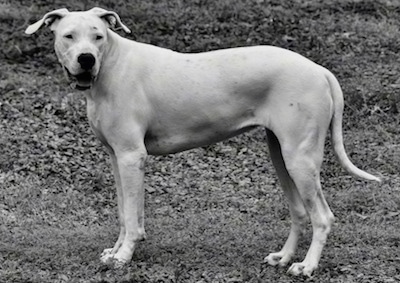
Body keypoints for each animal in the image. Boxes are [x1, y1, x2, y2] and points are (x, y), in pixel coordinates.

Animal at [26, 8, 380, 278]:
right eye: (69, 36)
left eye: (98, 36)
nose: (86, 59)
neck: (110, 65)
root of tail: (320, 70)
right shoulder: (117, 158)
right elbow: (125, 212)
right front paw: (116, 251)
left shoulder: (130, 157)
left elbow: (131, 216)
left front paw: (124, 256)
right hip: (282, 156)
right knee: (299, 211)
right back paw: (284, 257)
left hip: (300, 160)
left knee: (322, 217)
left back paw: (306, 266)